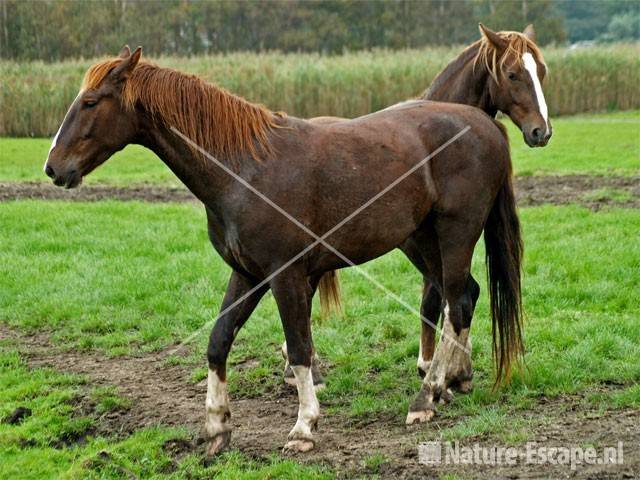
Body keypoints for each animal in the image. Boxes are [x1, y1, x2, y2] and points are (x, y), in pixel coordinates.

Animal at [46, 45, 524, 454]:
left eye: (91, 102)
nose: (53, 168)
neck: (243, 170)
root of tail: (488, 125)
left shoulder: (287, 276)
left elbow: (298, 348)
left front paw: (304, 427)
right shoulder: (247, 274)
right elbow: (219, 340)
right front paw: (216, 426)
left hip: (455, 234)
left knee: (454, 307)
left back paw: (425, 397)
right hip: (424, 240)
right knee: (463, 297)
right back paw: (449, 383)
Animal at [286, 23, 552, 394]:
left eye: (540, 72)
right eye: (512, 74)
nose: (541, 131)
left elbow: (445, 297)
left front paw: (449, 367)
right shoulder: (418, 244)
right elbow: (441, 298)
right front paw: (436, 366)